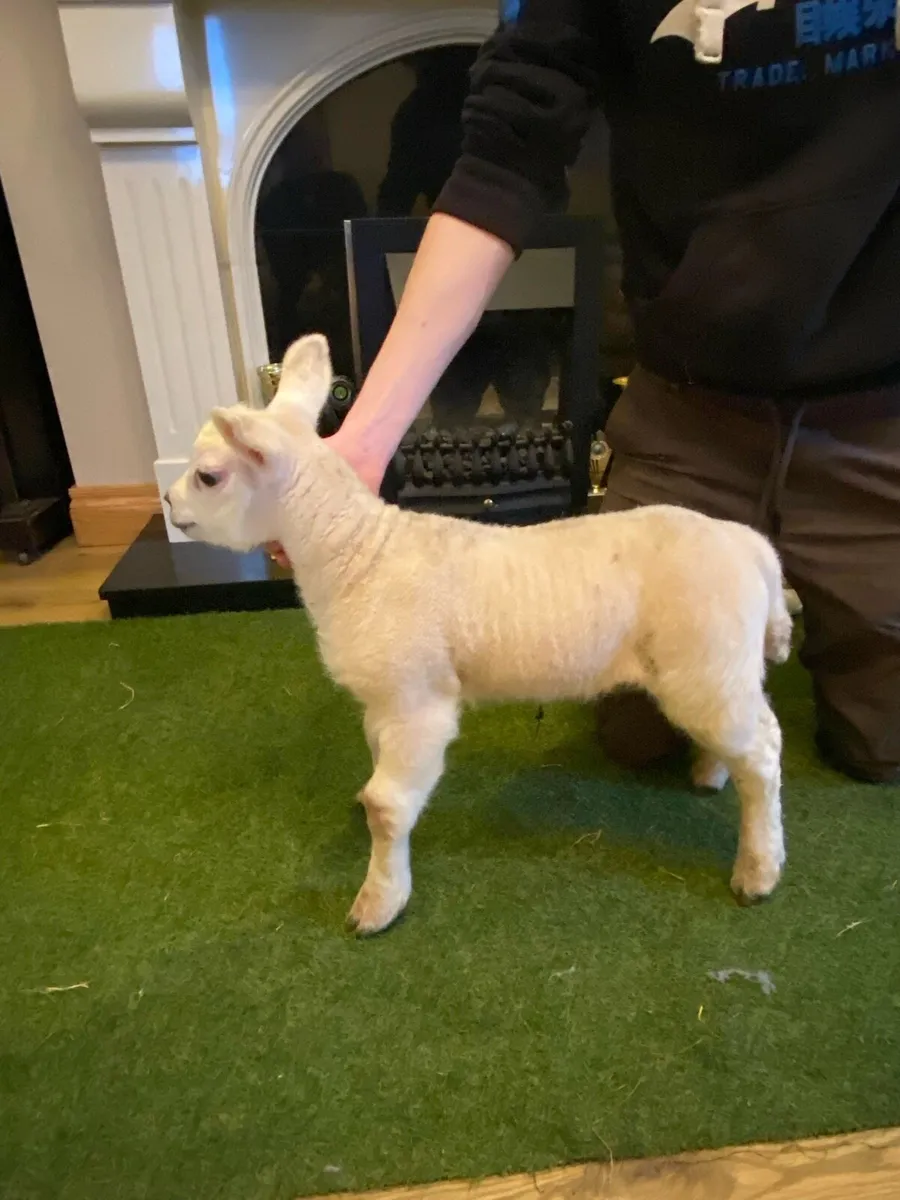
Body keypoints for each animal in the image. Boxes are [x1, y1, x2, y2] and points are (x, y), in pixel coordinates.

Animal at [167, 333, 790, 934]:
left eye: (208, 476)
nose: (169, 502)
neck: (358, 553)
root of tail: (751, 546)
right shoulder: (384, 700)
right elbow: (376, 774)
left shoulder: (418, 704)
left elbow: (387, 807)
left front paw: (379, 902)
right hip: (719, 669)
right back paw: (711, 774)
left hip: (705, 663)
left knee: (764, 748)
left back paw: (758, 870)